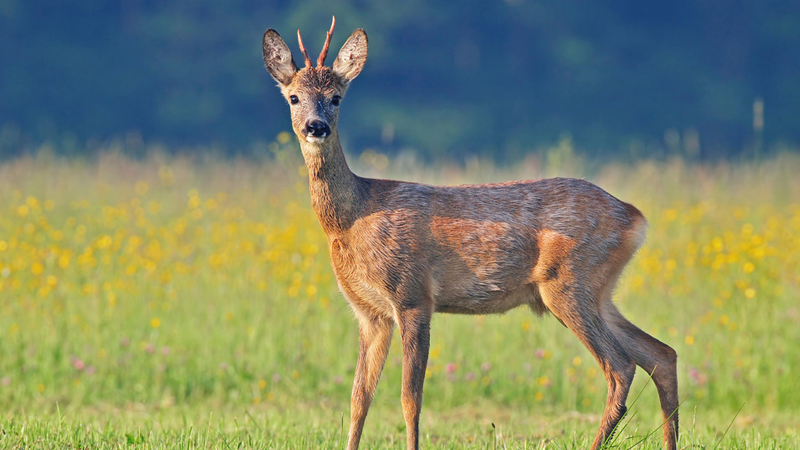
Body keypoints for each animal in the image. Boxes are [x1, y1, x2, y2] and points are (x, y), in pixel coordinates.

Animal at [260, 17, 676, 450]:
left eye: (337, 98)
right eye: (293, 97)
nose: (316, 126)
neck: (353, 217)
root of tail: (634, 217)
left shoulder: (413, 296)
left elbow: (410, 397)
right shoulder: (369, 312)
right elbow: (359, 397)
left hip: (569, 283)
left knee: (621, 366)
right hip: (599, 291)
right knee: (662, 354)